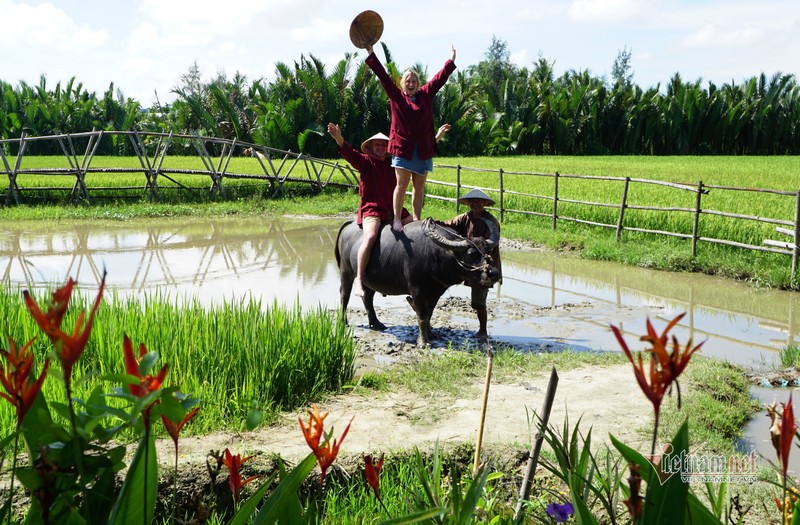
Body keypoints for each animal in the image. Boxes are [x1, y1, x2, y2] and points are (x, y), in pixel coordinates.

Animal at [332, 215, 500, 346]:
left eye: (488, 250)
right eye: (471, 254)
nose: (494, 273)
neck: (436, 255)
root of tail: (351, 224)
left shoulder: (436, 291)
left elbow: (429, 313)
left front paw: (431, 334)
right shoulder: (417, 290)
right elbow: (421, 315)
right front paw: (423, 342)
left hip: (370, 280)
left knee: (367, 297)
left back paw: (376, 323)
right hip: (346, 271)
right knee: (344, 295)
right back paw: (343, 321)